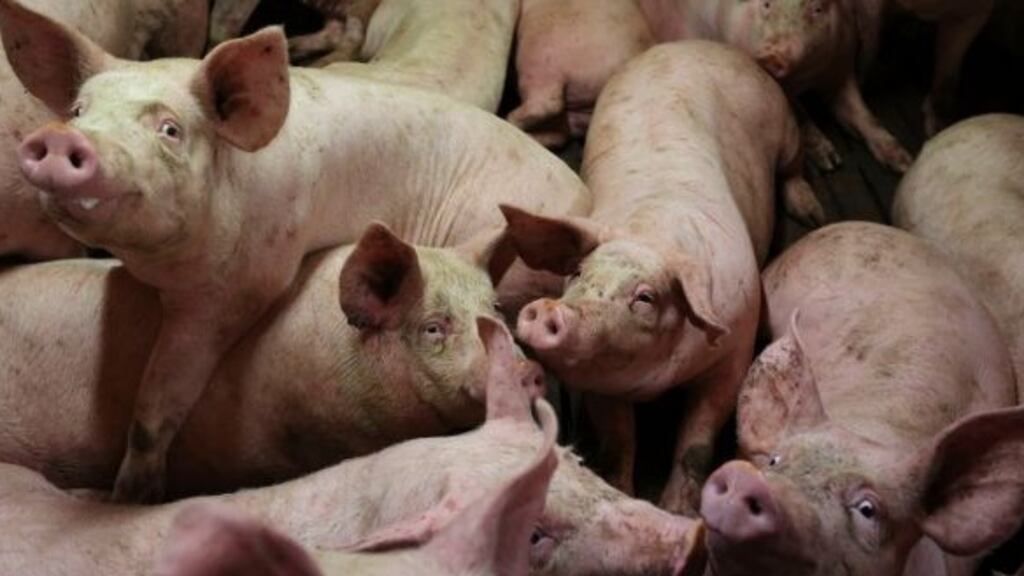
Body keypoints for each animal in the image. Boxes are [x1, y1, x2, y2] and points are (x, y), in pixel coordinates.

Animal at [502, 41, 823, 514]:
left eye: (645, 297)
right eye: (578, 272)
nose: (548, 311)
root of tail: (689, 43)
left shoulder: (735, 352)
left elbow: (698, 444)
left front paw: (678, 511)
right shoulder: (603, 382)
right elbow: (618, 441)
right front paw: (622, 490)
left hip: (781, 124)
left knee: (793, 164)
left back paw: (812, 208)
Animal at [636, 0, 913, 172]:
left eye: (817, 8)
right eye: (766, 4)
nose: (774, 56)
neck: (805, 80)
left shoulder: (841, 67)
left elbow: (863, 115)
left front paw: (904, 163)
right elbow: (800, 115)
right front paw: (830, 162)